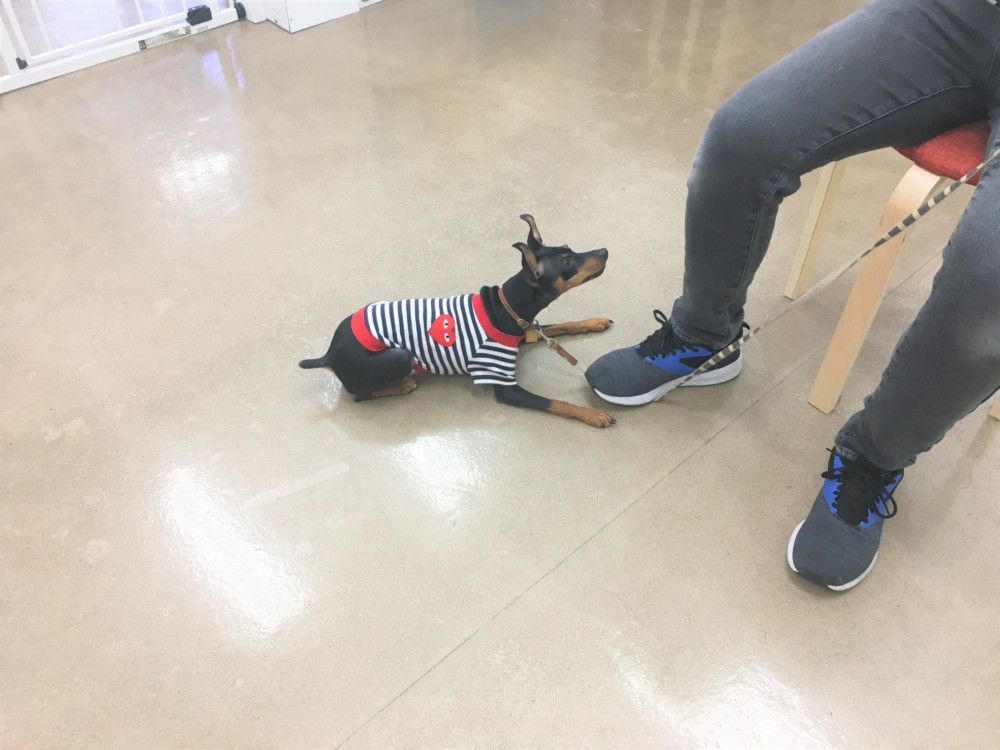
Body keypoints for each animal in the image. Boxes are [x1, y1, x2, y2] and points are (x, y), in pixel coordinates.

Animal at [299, 214, 615, 428]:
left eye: (569, 249)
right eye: (567, 263)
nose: (604, 251)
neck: (506, 307)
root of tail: (328, 354)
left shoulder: (526, 331)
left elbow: (560, 324)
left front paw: (594, 321)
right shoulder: (506, 387)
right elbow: (556, 402)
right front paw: (594, 414)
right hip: (400, 356)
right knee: (359, 395)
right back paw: (401, 386)